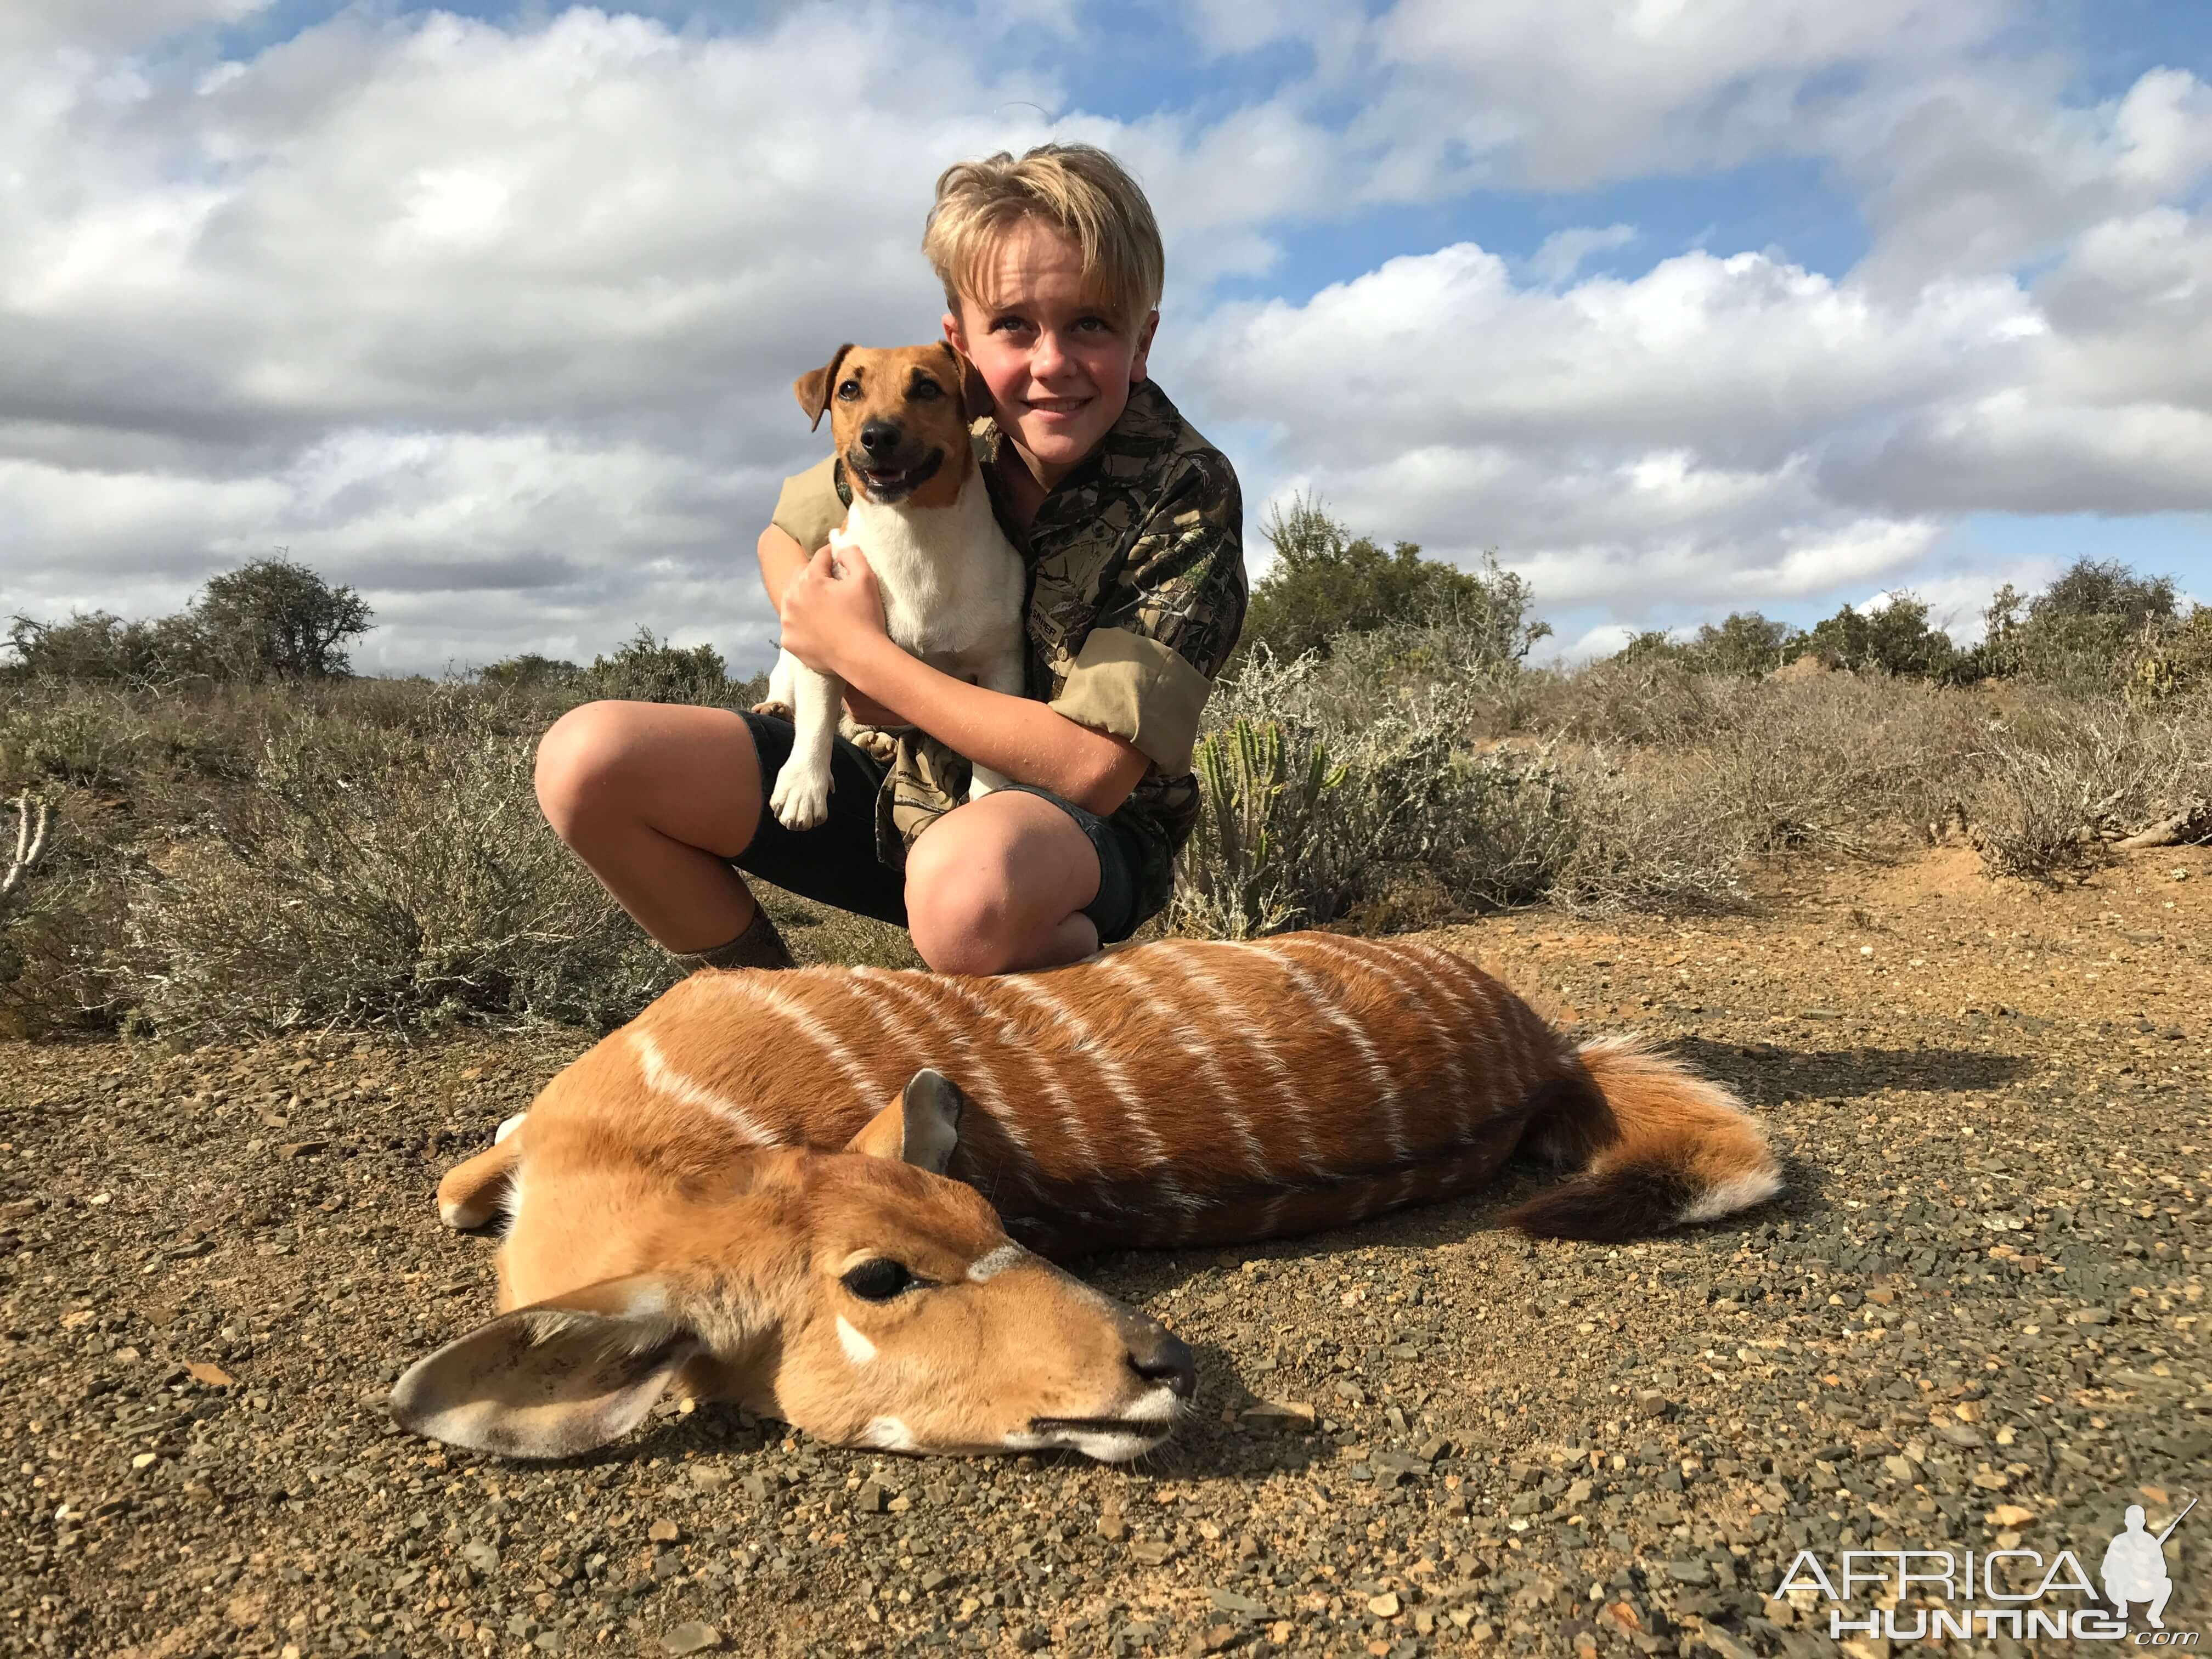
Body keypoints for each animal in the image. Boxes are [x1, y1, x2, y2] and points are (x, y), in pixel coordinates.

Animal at [393, 938, 1778, 1469]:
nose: (1161, 1367)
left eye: (998, 1228)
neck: (654, 1134)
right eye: (880, 1276)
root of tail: (1546, 1058)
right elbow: (464, 1180)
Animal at [761, 342, 1026, 832]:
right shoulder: (820, 642)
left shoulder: (1002, 664)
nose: (878, 435)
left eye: (927, 388)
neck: (913, 534)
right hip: (789, 656)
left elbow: (991, 754)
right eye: (849, 388)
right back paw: (778, 709)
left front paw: (988, 795)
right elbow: (817, 720)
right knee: (793, 698)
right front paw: (803, 784)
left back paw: (876, 742)